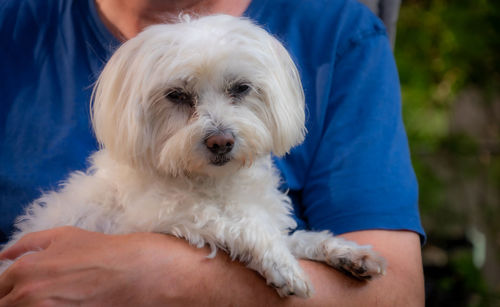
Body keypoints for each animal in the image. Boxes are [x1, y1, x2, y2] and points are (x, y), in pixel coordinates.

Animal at [1, 13, 386, 298]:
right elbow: (235, 221)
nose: (220, 142)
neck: (211, 181)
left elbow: (295, 237)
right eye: (176, 95)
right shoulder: (156, 217)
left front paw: (345, 252)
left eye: (241, 88)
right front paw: (281, 264)